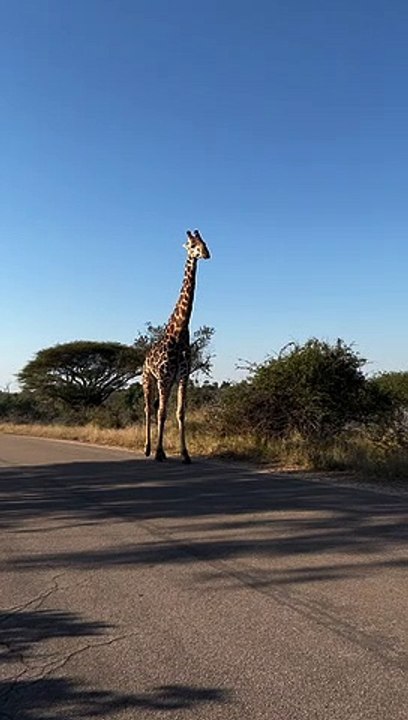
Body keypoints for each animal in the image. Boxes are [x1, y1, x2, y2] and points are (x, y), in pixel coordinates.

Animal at [142, 229, 211, 463]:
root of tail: (144, 359)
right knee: (149, 409)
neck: (180, 331)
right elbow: (162, 413)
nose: (206, 254)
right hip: (148, 379)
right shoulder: (163, 377)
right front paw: (159, 453)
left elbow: (180, 412)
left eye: (204, 242)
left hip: (167, 381)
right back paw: (147, 448)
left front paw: (185, 454)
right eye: (192, 245)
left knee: (155, 408)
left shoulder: (183, 376)